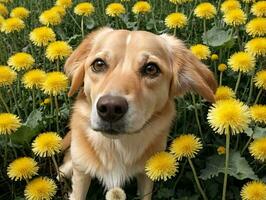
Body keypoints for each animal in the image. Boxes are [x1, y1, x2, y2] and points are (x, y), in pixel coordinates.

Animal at [59, 27, 216, 200]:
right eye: (98, 64)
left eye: (151, 68)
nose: (110, 108)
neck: (116, 147)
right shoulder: (81, 173)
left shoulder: (147, 174)